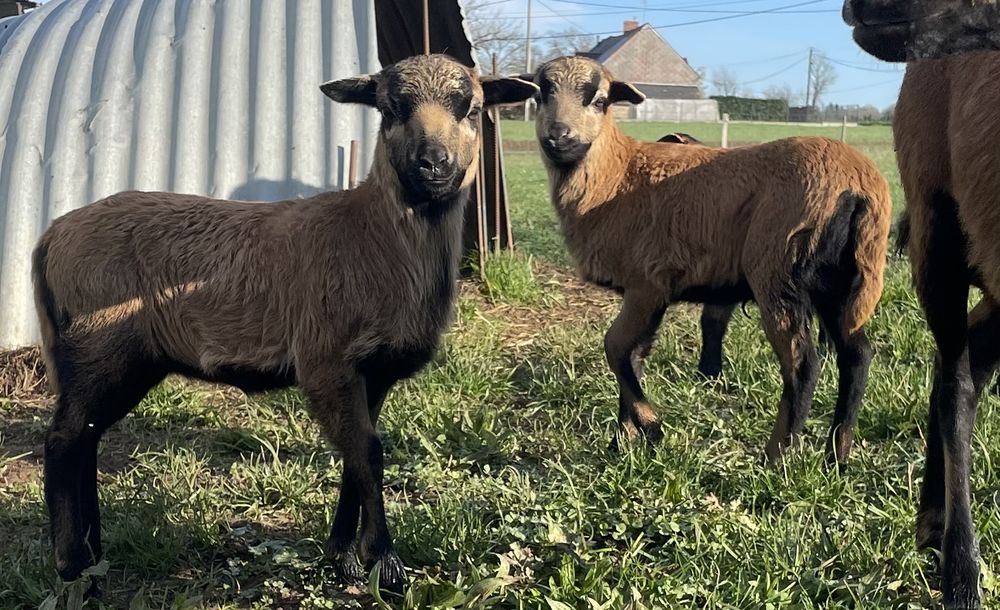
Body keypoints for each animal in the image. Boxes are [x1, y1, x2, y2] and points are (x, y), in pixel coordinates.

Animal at [32, 53, 537, 595]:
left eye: (472, 108)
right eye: (390, 109)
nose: (434, 163)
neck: (374, 237)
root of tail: (51, 235)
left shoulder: (373, 372)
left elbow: (357, 459)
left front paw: (343, 557)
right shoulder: (327, 361)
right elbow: (369, 454)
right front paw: (384, 565)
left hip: (121, 359)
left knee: (86, 438)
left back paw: (94, 553)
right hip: (102, 345)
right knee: (62, 441)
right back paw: (72, 567)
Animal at [524, 56, 892, 466]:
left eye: (600, 100)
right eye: (541, 94)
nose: (558, 136)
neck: (615, 177)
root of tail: (861, 185)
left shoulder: (647, 283)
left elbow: (616, 349)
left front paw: (650, 429)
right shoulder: (649, 292)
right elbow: (634, 356)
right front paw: (622, 444)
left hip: (779, 269)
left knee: (802, 365)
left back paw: (775, 458)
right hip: (838, 282)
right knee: (857, 355)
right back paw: (836, 456)